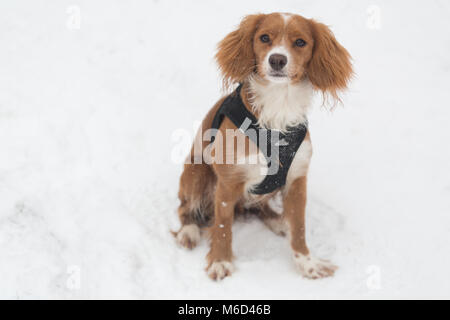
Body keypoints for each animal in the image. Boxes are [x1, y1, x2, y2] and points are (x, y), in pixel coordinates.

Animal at [172, 12, 352, 280]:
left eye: (300, 42)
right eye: (264, 38)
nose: (277, 59)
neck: (278, 106)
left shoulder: (297, 180)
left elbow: (300, 229)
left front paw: (307, 264)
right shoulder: (228, 182)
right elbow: (223, 227)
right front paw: (220, 261)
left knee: (260, 208)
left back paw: (279, 221)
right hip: (196, 171)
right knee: (185, 209)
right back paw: (189, 232)